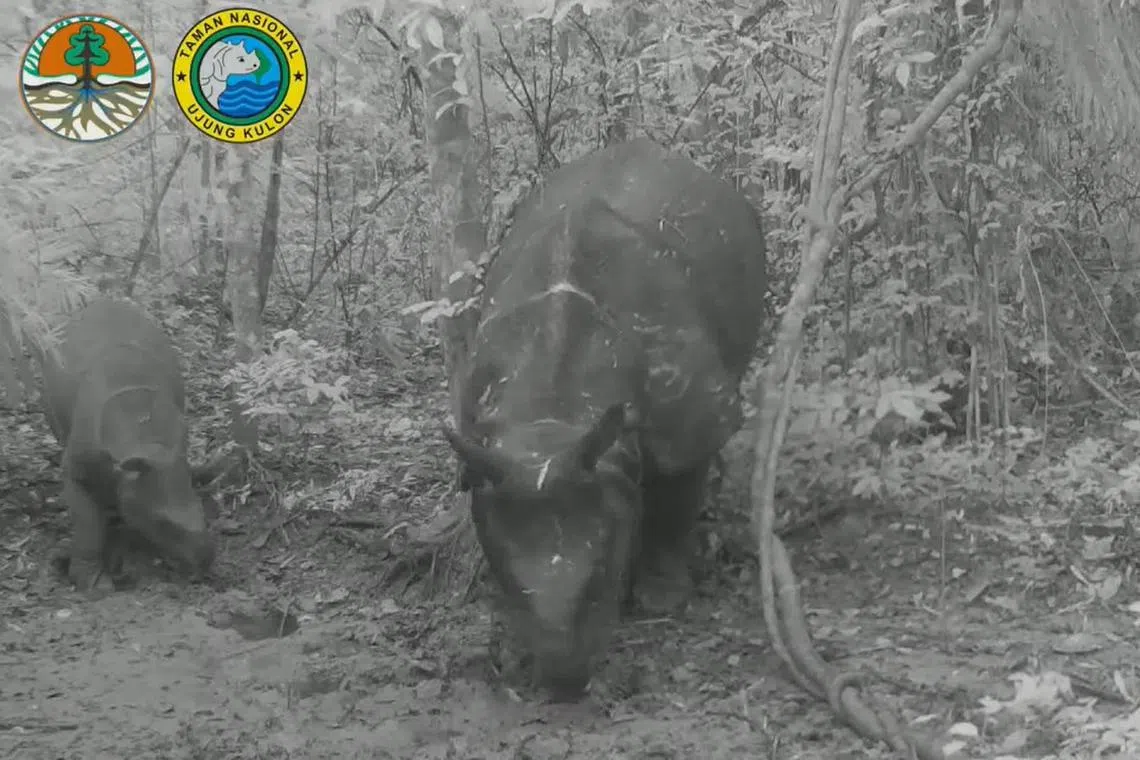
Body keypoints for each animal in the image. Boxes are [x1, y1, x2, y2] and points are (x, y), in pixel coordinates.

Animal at [41, 299, 214, 592]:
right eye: (162, 523)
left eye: (202, 510)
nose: (206, 562)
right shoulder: (78, 466)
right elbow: (87, 524)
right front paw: (93, 583)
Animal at [444, 138, 768, 700]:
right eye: (509, 583)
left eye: (601, 576)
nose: (563, 681)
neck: (555, 420)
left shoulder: (691, 415)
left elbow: (678, 494)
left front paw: (663, 599)